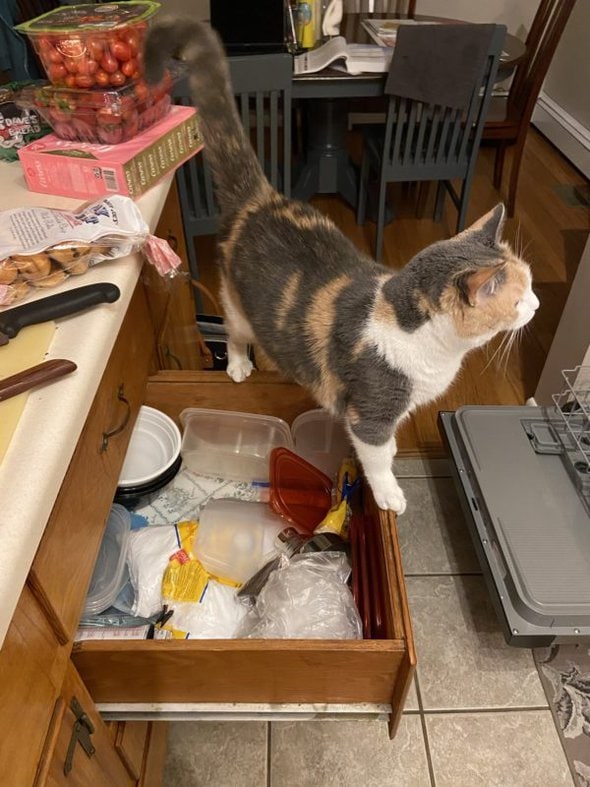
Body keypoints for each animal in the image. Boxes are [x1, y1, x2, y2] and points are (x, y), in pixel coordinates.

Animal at [145, 18, 540, 516]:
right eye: (519, 297)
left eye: (532, 285)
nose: (538, 304)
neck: (429, 347)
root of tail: (262, 198)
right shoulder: (370, 413)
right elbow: (378, 456)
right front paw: (389, 494)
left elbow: (390, 446)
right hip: (237, 305)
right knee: (235, 332)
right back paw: (237, 365)